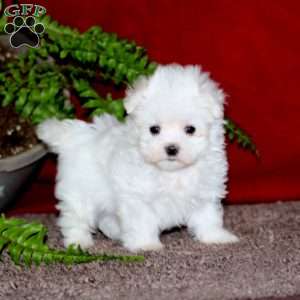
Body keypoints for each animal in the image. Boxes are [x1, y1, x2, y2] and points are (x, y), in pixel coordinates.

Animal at [36, 64, 238, 252]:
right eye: (154, 129)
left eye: (190, 129)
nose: (171, 148)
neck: (172, 173)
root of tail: (74, 135)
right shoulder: (138, 198)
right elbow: (143, 221)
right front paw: (145, 244)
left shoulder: (205, 193)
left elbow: (208, 217)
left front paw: (216, 237)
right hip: (80, 192)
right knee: (75, 218)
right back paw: (78, 241)